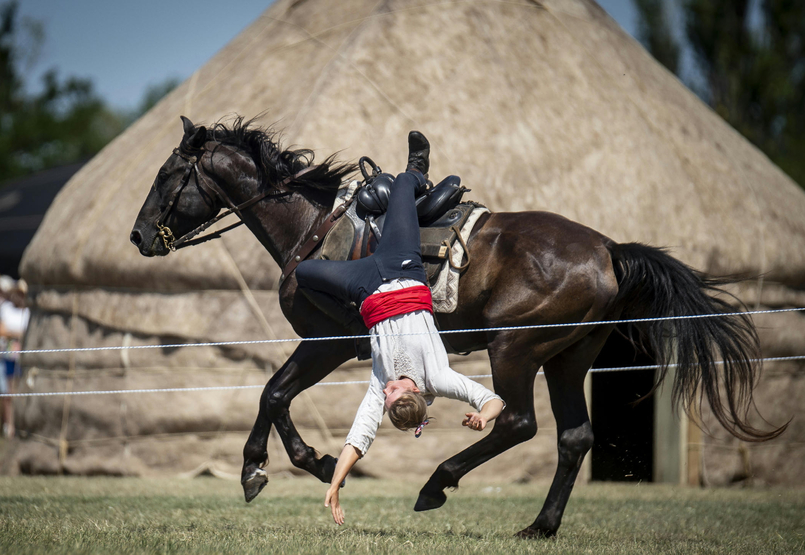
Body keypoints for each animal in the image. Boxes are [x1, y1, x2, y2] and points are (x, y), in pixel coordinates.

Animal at [132, 116, 784, 540]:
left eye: (167, 175)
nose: (138, 237)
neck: (312, 226)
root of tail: (607, 249)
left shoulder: (327, 345)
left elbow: (273, 393)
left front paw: (262, 467)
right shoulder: (326, 348)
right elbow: (277, 395)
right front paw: (302, 462)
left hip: (516, 348)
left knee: (518, 422)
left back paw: (436, 484)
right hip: (568, 357)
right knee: (573, 437)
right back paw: (540, 526)